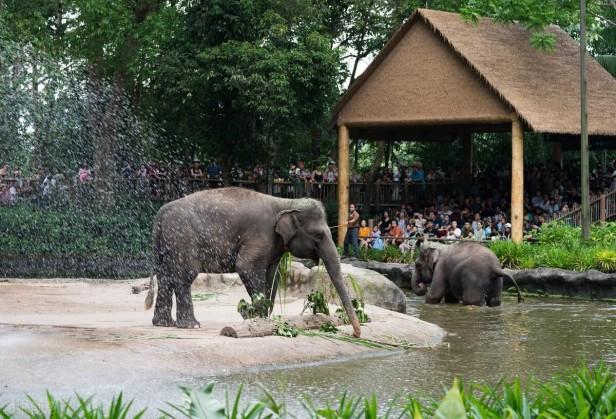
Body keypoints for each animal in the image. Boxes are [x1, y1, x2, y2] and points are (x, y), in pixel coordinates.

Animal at [146, 187, 360, 338]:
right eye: (319, 235)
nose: (356, 334)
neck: (285, 202)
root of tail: (160, 214)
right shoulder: (260, 236)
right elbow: (247, 267)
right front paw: (254, 317)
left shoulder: (275, 245)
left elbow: (272, 276)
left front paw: (262, 319)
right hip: (183, 240)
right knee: (184, 278)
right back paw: (192, 325)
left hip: (165, 245)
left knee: (165, 278)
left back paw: (163, 324)